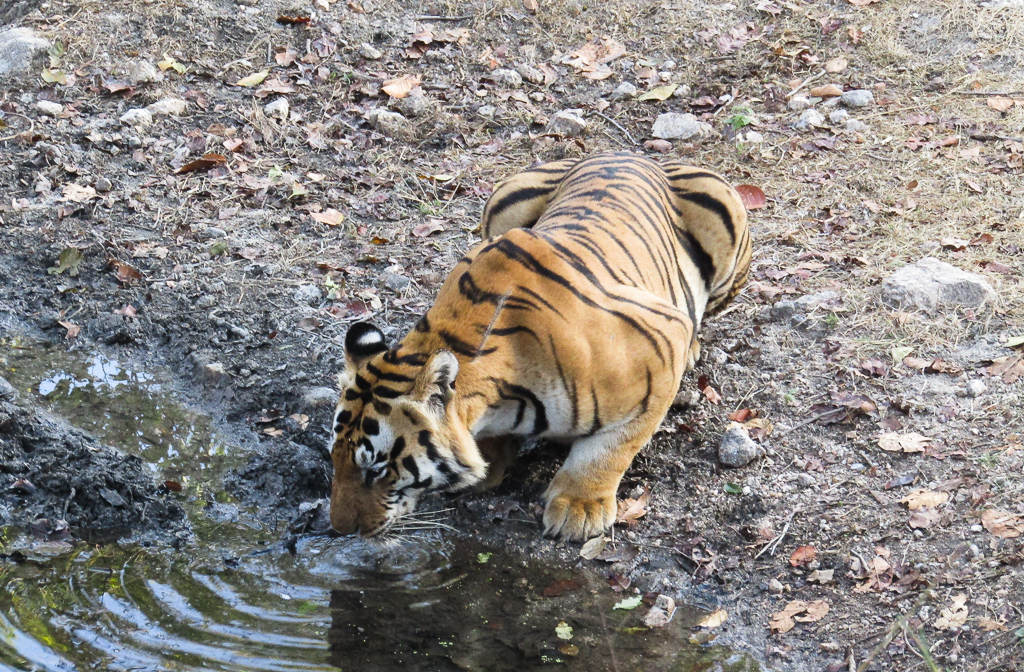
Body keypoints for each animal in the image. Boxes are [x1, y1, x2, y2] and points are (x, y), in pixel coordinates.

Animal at [329, 150, 753, 540]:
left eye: (376, 469)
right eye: (335, 457)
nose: (340, 529)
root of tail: (632, 153)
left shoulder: (664, 343)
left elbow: (611, 448)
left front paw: (579, 507)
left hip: (727, 215)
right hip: (504, 197)